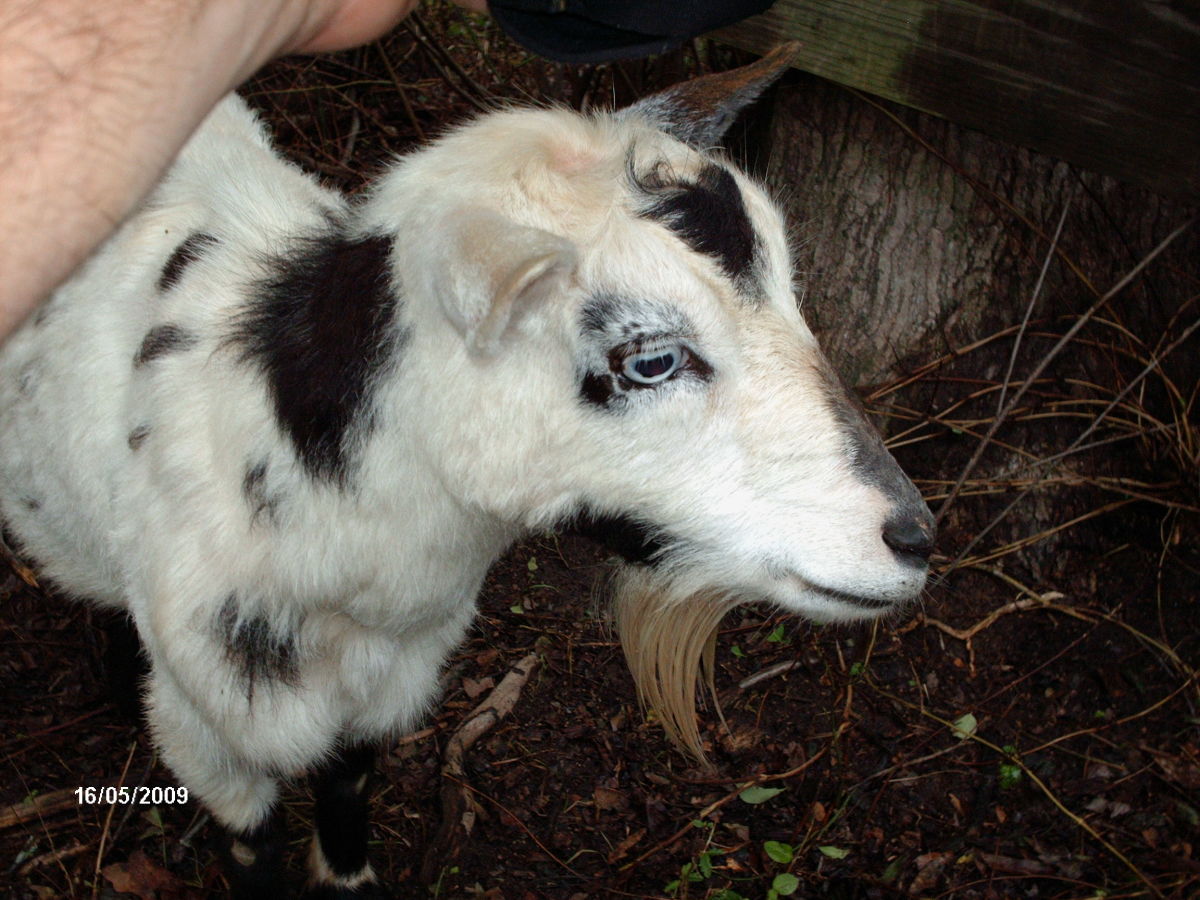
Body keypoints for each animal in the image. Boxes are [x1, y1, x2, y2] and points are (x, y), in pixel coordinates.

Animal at [0, 49, 931, 900]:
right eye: (650, 359)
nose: (914, 538)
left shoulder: (390, 682)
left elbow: (348, 787)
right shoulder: (211, 728)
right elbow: (251, 843)